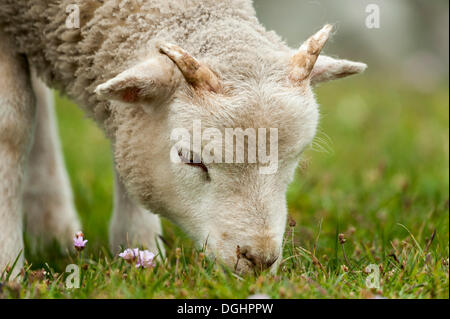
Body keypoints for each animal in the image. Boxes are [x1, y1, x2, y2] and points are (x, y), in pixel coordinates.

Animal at [0, 0, 366, 276]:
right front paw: (10, 269)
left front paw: (139, 255)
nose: (259, 260)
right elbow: (12, 124)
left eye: (294, 159)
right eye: (191, 158)